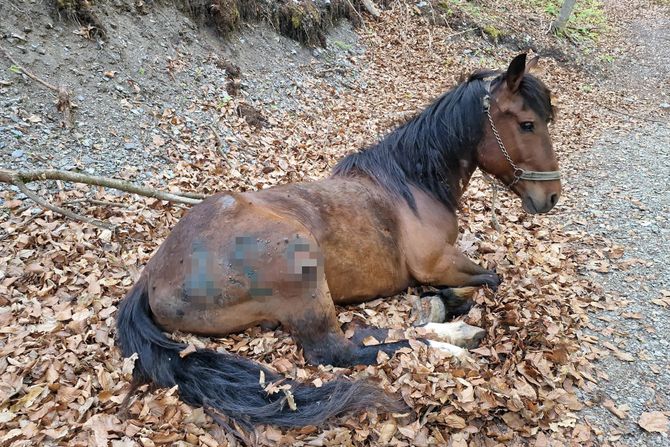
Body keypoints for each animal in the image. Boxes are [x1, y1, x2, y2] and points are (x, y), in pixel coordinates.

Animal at [115, 52, 560, 434]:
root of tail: (152, 275)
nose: (552, 196)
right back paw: (453, 343)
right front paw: (451, 303)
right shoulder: (437, 263)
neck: (411, 184)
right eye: (527, 124)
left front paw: (437, 303)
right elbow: (491, 278)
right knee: (341, 350)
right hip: (303, 264)